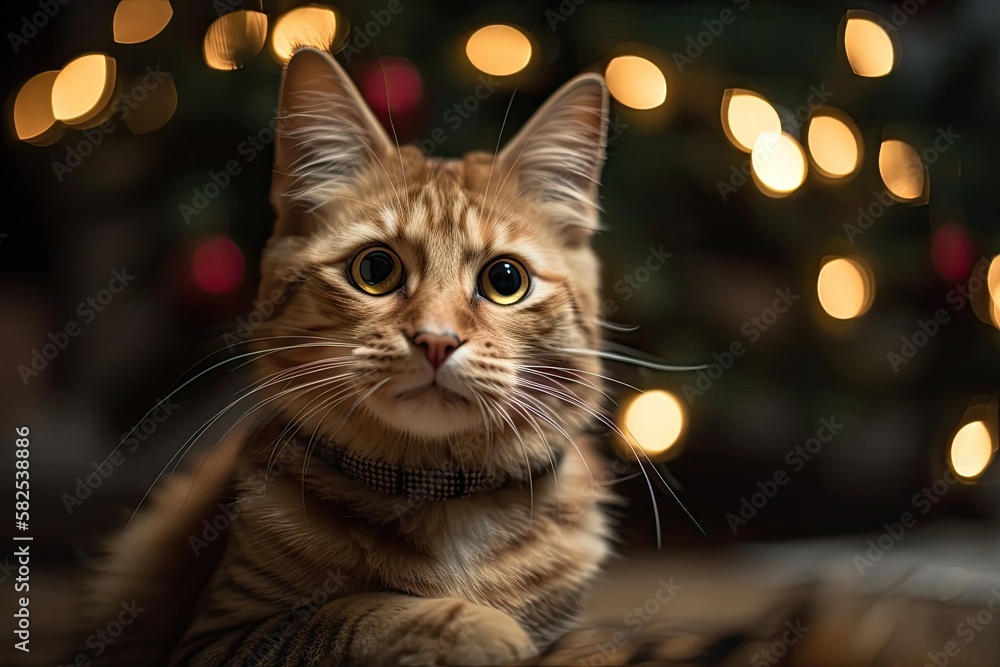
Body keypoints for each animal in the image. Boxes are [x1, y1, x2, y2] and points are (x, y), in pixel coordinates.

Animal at [84, 47, 616, 667]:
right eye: (376, 269)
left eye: (505, 280)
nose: (437, 340)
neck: (442, 503)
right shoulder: (216, 639)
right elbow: (354, 614)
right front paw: (479, 629)